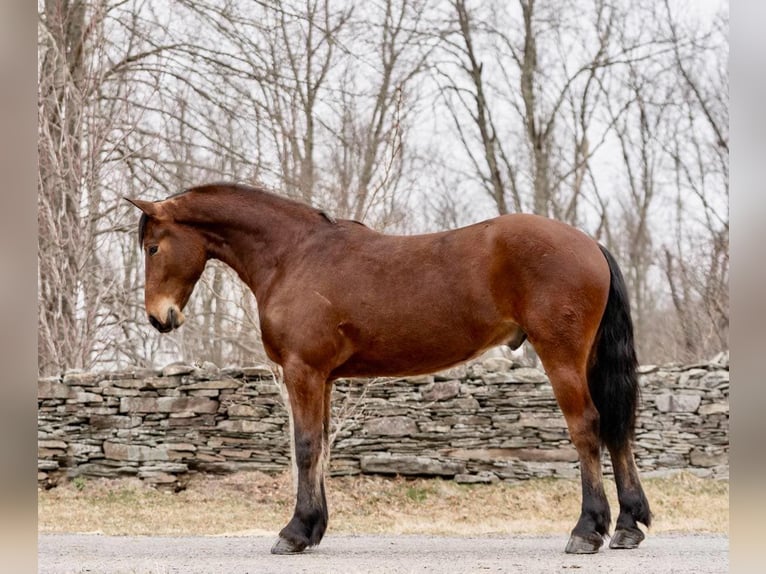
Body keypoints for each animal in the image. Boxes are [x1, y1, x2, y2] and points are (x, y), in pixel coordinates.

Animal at [127, 182, 651, 555]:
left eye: (152, 247)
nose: (159, 317)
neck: (294, 255)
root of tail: (589, 244)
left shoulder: (303, 372)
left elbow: (305, 448)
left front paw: (294, 533)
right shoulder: (323, 379)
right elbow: (321, 448)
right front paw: (313, 529)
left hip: (562, 357)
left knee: (587, 428)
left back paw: (587, 531)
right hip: (589, 359)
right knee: (617, 430)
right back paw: (628, 526)